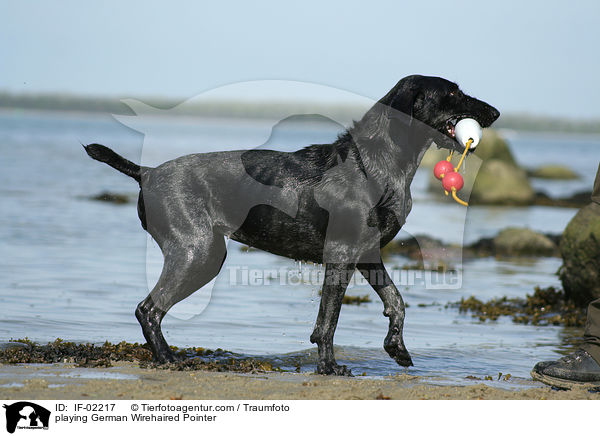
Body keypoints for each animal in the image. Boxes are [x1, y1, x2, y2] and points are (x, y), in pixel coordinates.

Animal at [83, 75, 496, 374]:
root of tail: (147, 173)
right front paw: (329, 367)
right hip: (199, 253)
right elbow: (328, 320)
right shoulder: (341, 254)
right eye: (453, 92)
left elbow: (396, 301)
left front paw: (397, 347)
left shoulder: (367, 254)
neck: (374, 163)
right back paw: (169, 359)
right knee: (148, 309)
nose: (494, 112)